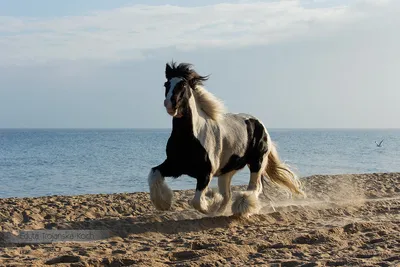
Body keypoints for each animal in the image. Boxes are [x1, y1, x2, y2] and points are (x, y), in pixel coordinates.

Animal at [148, 62, 304, 218]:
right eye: (166, 84)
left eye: (183, 85)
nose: (170, 104)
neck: (190, 137)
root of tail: (260, 125)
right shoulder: (174, 166)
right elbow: (154, 172)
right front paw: (164, 203)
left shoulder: (205, 173)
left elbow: (197, 202)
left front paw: (211, 203)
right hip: (227, 171)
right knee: (228, 195)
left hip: (256, 163)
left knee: (254, 187)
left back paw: (242, 207)